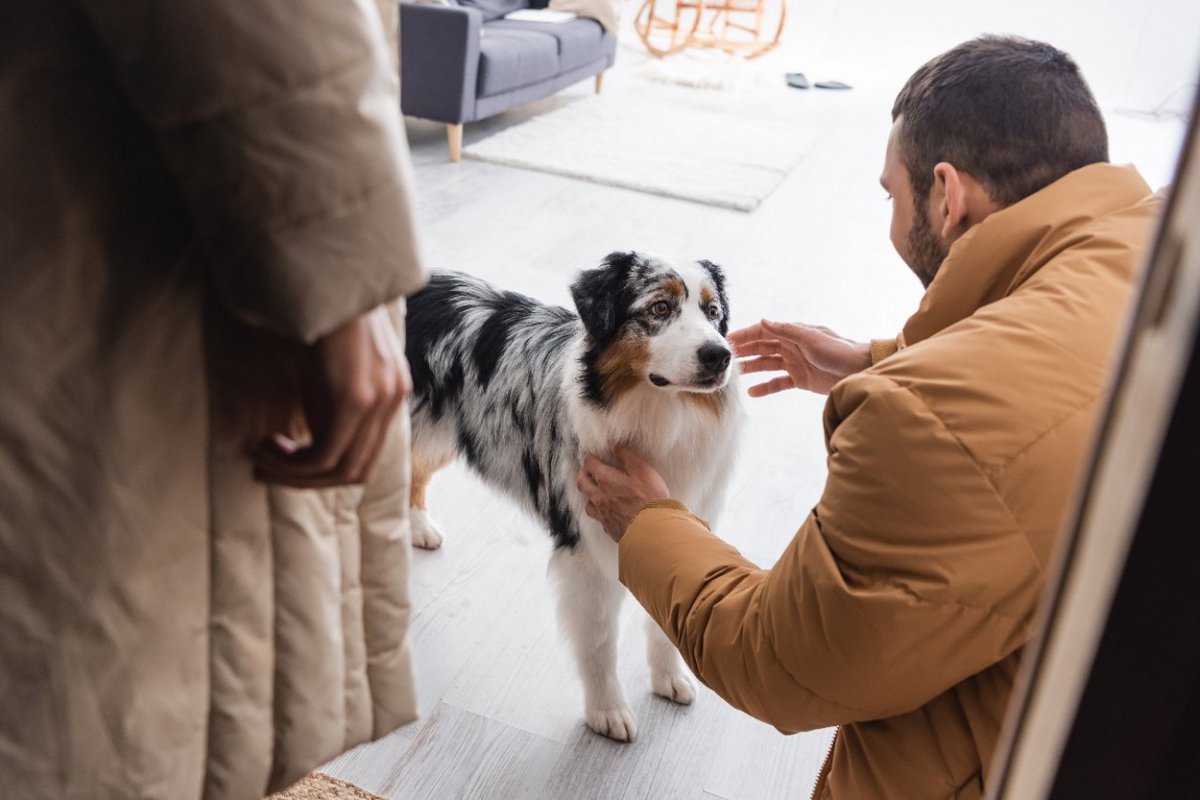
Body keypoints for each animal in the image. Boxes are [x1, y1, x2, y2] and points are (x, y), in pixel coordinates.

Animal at [403, 251, 739, 743]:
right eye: (659, 307)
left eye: (713, 313)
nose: (720, 354)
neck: (659, 413)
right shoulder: (586, 548)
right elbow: (599, 641)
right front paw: (607, 711)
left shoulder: (680, 519)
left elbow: (667, 616)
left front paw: (669, 678)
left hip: (436, 430)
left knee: (414, 471)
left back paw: (419, 527)